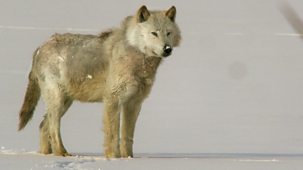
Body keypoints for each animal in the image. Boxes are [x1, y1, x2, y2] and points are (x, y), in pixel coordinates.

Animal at [18, 4, 180, 158]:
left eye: (168, 33)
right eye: (154, 33)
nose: (167, 49)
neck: (138, 59)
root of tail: (40, 47)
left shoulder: (134, 103)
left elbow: (127, 137)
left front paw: (128, 158)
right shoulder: (113, 99)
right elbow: (113, 135)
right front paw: (113, 157)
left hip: (65, 102)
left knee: (42, 125)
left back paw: (47, 155)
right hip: (58, 101)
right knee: (53, 127)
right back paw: (61, 153)